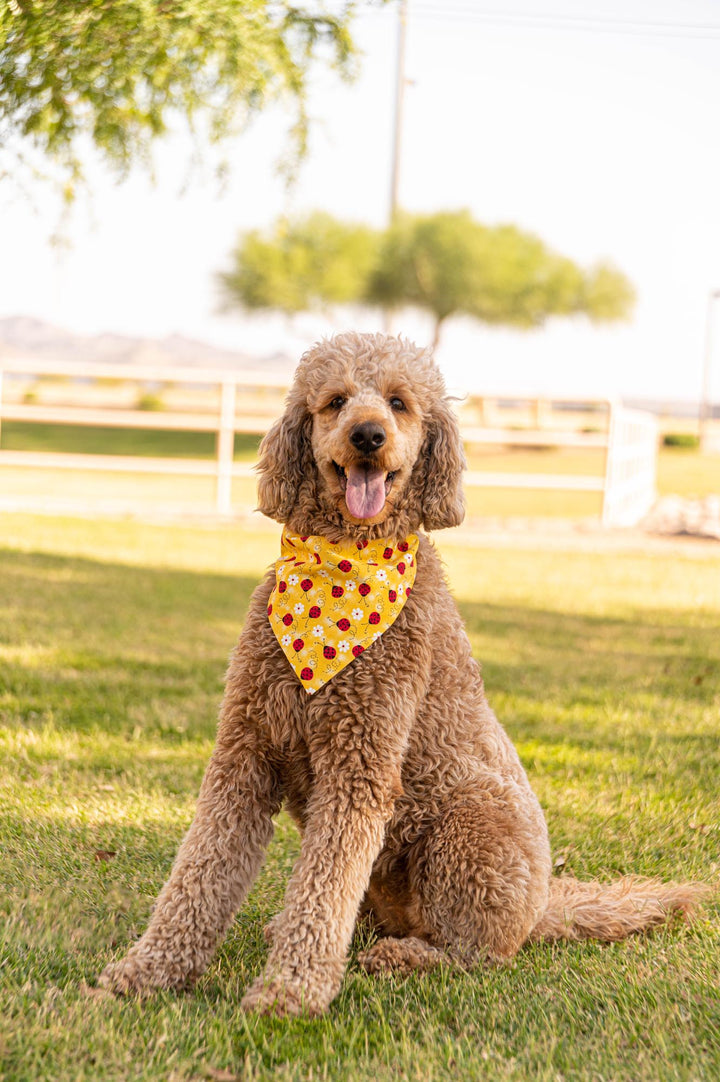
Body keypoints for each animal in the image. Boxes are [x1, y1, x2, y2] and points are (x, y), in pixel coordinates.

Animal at [99, 333, 705, 1017]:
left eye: (399, 402)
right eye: (335, 401)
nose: (367, 434)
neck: (341, 574)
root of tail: (544, 906)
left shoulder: (359, 767)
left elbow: (323, 889)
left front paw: (290, 992)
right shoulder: (245, 753)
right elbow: (200, 871)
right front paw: (150, 970)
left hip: (467, 825)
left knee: (477, 954)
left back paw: (404, 957)